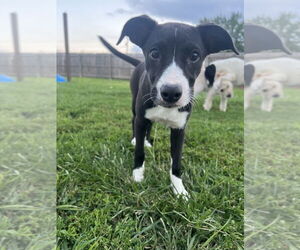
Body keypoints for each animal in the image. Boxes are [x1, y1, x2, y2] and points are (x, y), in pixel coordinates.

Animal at [99, 15, 238, 199]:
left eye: (195, 55)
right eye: (154, 53)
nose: (171, 93)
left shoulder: (180, 128)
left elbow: (176, 161)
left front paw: (179, 190)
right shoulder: (141, 118)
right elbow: (139, 151)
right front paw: (137, 176)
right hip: (135, 106)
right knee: (134, 120)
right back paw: (137, 139)